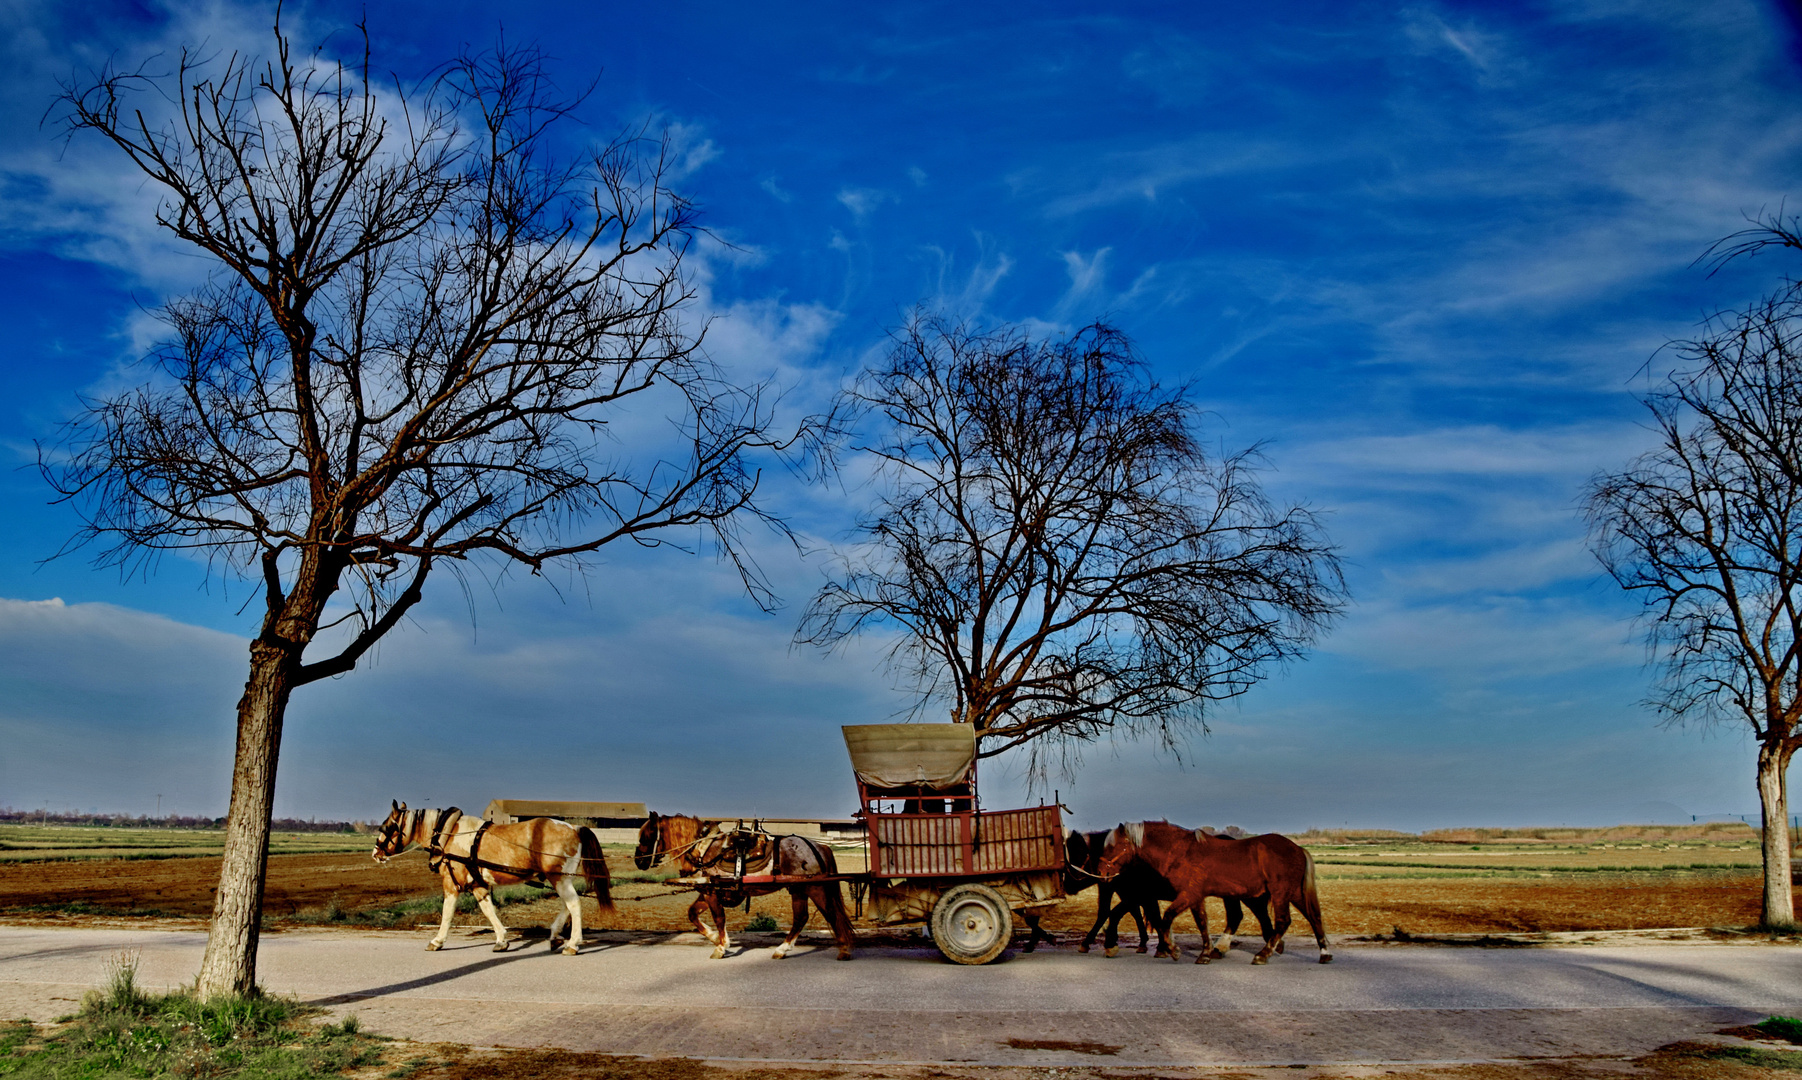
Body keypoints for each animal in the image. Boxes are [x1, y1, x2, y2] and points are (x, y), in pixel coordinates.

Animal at [371, 804, 612, 951]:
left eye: (387, 826)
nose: (375, 853)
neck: (449, 833)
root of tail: (575, 827)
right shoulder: (478, 884)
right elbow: (488, 910)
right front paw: (501, 940)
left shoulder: (452, 884)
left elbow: (447, 913)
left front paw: (437, 941)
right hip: (561, 879)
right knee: (568, 904)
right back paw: (555, 936)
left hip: (559, 878)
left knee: (574, 904)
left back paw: (572, 944)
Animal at [634, 811, 857, 966]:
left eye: (646, 835)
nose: (638, 861)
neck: (703, 849)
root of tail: (818, 846)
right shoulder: (708, 890)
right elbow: (692, 914)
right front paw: (715, 938)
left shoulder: (712, 892)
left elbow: (719, 918)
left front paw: (721, 946)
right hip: (798, 889)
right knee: (801, 918)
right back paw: (782, 949)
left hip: (814, 887)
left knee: (830, 913)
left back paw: (844, 949)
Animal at [1088, 825, 1333, 966]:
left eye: (1113, 846)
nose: (1101, 872)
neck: (1182, 852)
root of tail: (1297, 848)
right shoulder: (1194, 896)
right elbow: (1201, 923)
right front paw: (1204, 953)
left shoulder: (1187, 894)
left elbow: (1166, 918)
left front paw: (1173, 950)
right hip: (1291, 893)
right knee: (1313, 917)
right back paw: (1324, 953)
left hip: (1280, 893)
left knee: (1282, 921)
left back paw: (1263, 954)